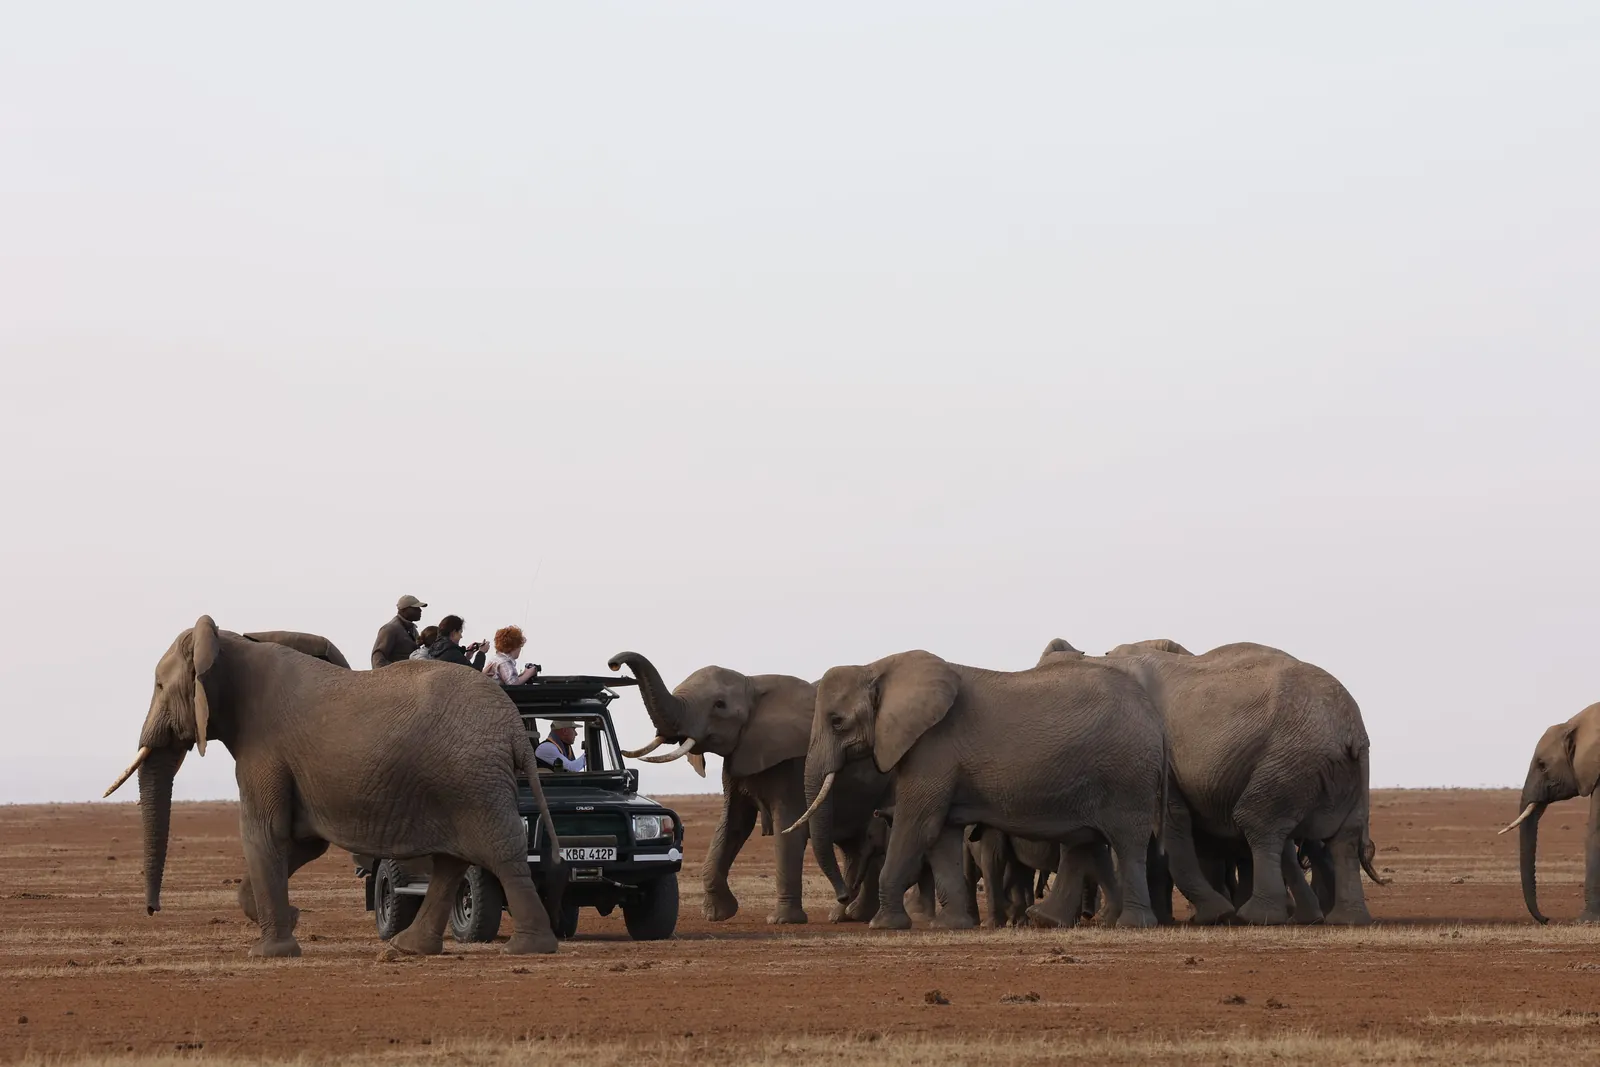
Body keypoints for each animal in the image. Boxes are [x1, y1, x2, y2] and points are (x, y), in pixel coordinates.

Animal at [103, 616, 565, 957]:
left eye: (159, 686)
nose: (151, 910)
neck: (228, 643)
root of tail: (513, 727)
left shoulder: (263, 750)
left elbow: (263, 834)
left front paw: (271, 952)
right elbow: (303, 841)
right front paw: (290, 916)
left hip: (472, 780)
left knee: (499, 851)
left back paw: (528, 949)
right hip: (462, 781)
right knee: (453, 859)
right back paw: (410, 948)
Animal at [607, 652, 891, 924]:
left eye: (719, 705)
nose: (613, 664)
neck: (753, 686)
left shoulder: (792, 764)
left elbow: (788, 829)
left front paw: (781, 921)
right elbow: (732, 825)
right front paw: (717, 915)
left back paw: (854, 914)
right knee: (855, 848)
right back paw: (844, 915)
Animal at [794, 649, 1168, 930]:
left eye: (837, 722)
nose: (842, 898)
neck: (876, 667)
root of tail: (1153, 716)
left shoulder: (933, 747)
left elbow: (917, 826)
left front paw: (884, 925)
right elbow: (941, 835)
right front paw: (951, 926)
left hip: (1127, 777)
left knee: (1126, 843)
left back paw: (1132, 924)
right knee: (1083, 842)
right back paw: (1045, 919)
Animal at [1071, 638, 1375, 926]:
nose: (1089, 915)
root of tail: (1354, 731)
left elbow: (1172, 822)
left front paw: (1216, 915)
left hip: (1291, 757)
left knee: (1257, 820)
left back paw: (1255, 916)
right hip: (1335, 772)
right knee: (1344, 837)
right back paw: (1344, 919)